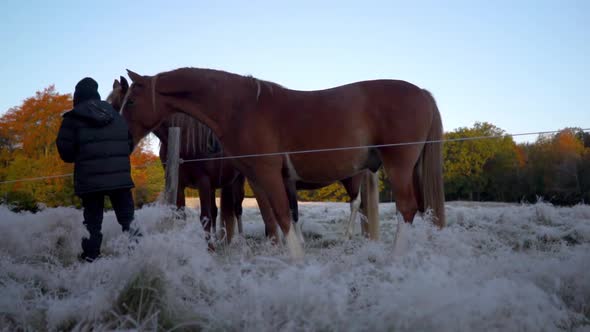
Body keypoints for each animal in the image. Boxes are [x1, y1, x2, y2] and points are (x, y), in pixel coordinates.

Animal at [119, 67, 444, 260]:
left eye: (130, 101)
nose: (123, 138)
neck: (242, 109)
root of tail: (423, 93)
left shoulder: (267, 174)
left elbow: (282, 217)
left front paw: (298, 262)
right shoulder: (258, 179)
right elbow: (275, 217)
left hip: (398, 166)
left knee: (406, 208)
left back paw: (394, 258)